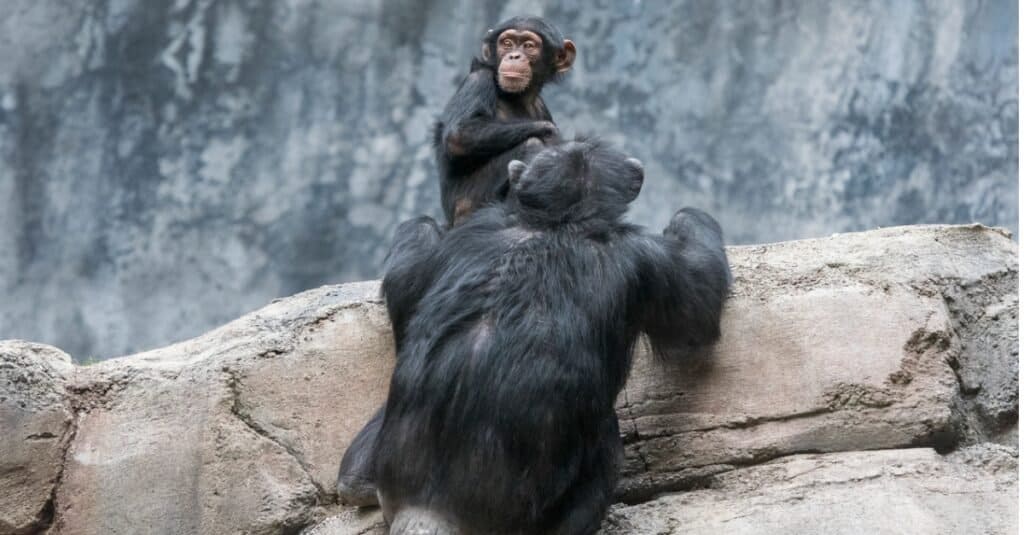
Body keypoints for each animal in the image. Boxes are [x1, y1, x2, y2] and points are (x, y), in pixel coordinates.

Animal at [348, 138, 733, 532]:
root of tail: (430, 508)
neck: (557, 221)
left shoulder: (475, 228)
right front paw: (687, 218)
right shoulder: (650, 260)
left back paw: (353, 481)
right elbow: (697, 322)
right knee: (609, 451)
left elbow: (409, 281)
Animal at [434, 16, 577, 224]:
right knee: (531, 144)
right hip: (468, 208)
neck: (514, 96)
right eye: (507, 43)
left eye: (528, 45)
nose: (514, 56)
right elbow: (459, 135)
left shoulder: (542, 107)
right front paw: (552, 135)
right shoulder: (478, 80)